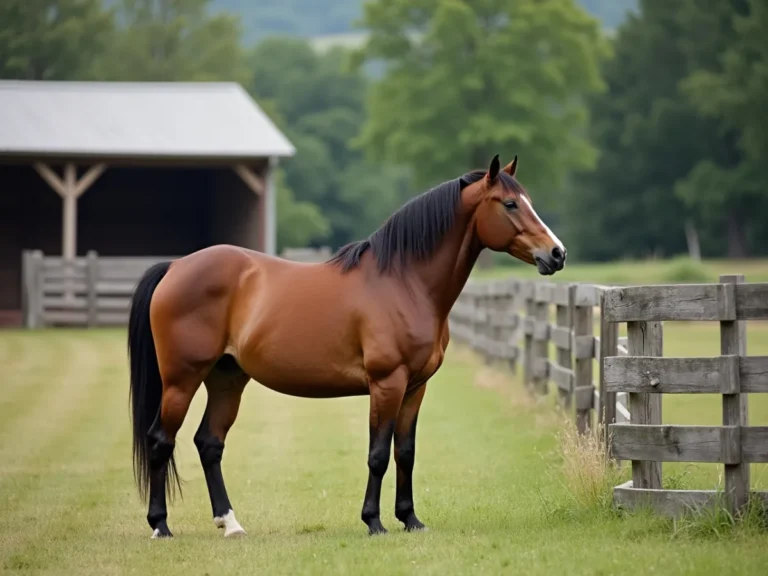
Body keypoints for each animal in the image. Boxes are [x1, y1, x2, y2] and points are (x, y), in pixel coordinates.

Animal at [127, 154, 566, 539]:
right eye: (510, 203)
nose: (557, 254)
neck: (404, 282)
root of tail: (175, 266)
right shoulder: (387, 383)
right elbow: (379, 454)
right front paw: (374, 522)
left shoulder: (415, 387)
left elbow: (405, 452)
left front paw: (410, 520)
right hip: (182, 380)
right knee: (161, 440)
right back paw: (160, 526)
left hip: (227, 379)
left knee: (209, 443)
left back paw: (230, 524)